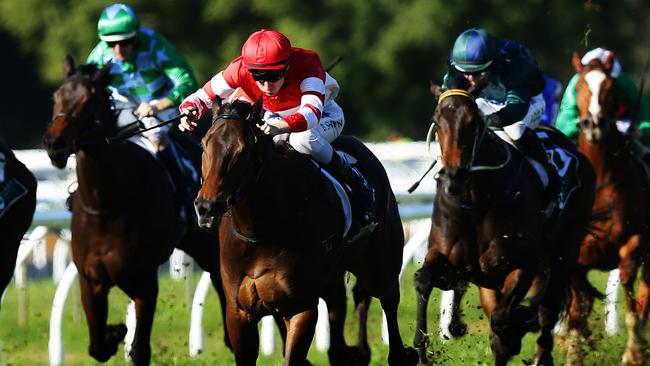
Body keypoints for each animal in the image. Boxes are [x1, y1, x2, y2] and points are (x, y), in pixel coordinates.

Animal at [42, 55, 225, 364]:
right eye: (56, 96)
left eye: (89, 99)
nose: (55, 143)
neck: (106, 205)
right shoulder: (91, 281)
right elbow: (97, 347)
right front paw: (115, 332)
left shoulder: (143, 280)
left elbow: (140, 349)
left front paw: (122, 334)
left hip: (207, 243)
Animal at [194, 100, 416, 366]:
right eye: (203, 145)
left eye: (243, 150)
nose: (206, 208)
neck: (261, 231)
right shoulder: (239, 312)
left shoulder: (301, 307)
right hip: (332, 275)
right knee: (340, 306)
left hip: (380, 263)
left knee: (386, 300)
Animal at [412, 83, 596, 366]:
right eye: (437, 120)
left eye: (473, 122)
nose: (454, 177)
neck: (478, 200)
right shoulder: (451, 260)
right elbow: (423, 281)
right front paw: (423, 349)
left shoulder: (523, 265)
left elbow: (505, 319)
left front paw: (518, 327)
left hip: (566, 249)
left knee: (548, 307)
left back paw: (539, 350)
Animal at [564, 51, 648, 366]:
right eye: (579, 87)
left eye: (611, 89)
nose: (593, 124)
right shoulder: (573, 259)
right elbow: (577, 314)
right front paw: (573, 353)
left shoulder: (635, 243)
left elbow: (630, 296)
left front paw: (634, 352)